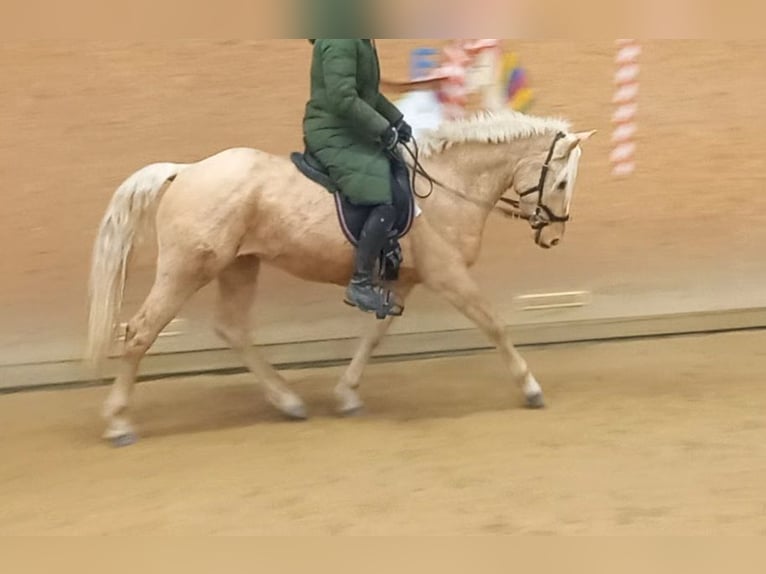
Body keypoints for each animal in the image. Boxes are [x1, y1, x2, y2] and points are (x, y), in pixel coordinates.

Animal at [85, 109, 595, 446]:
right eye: (561, 182)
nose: (553, 235)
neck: (451, 185)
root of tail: (185, 171)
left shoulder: (400, 281)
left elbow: (373, 335)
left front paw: (347, 395)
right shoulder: (447, 274)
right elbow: (494, 324)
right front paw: (531, 388)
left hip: (238, 265)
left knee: (231, 328)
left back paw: (289, 402)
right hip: (189, 267)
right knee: (140, 332)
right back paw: (118, 424)